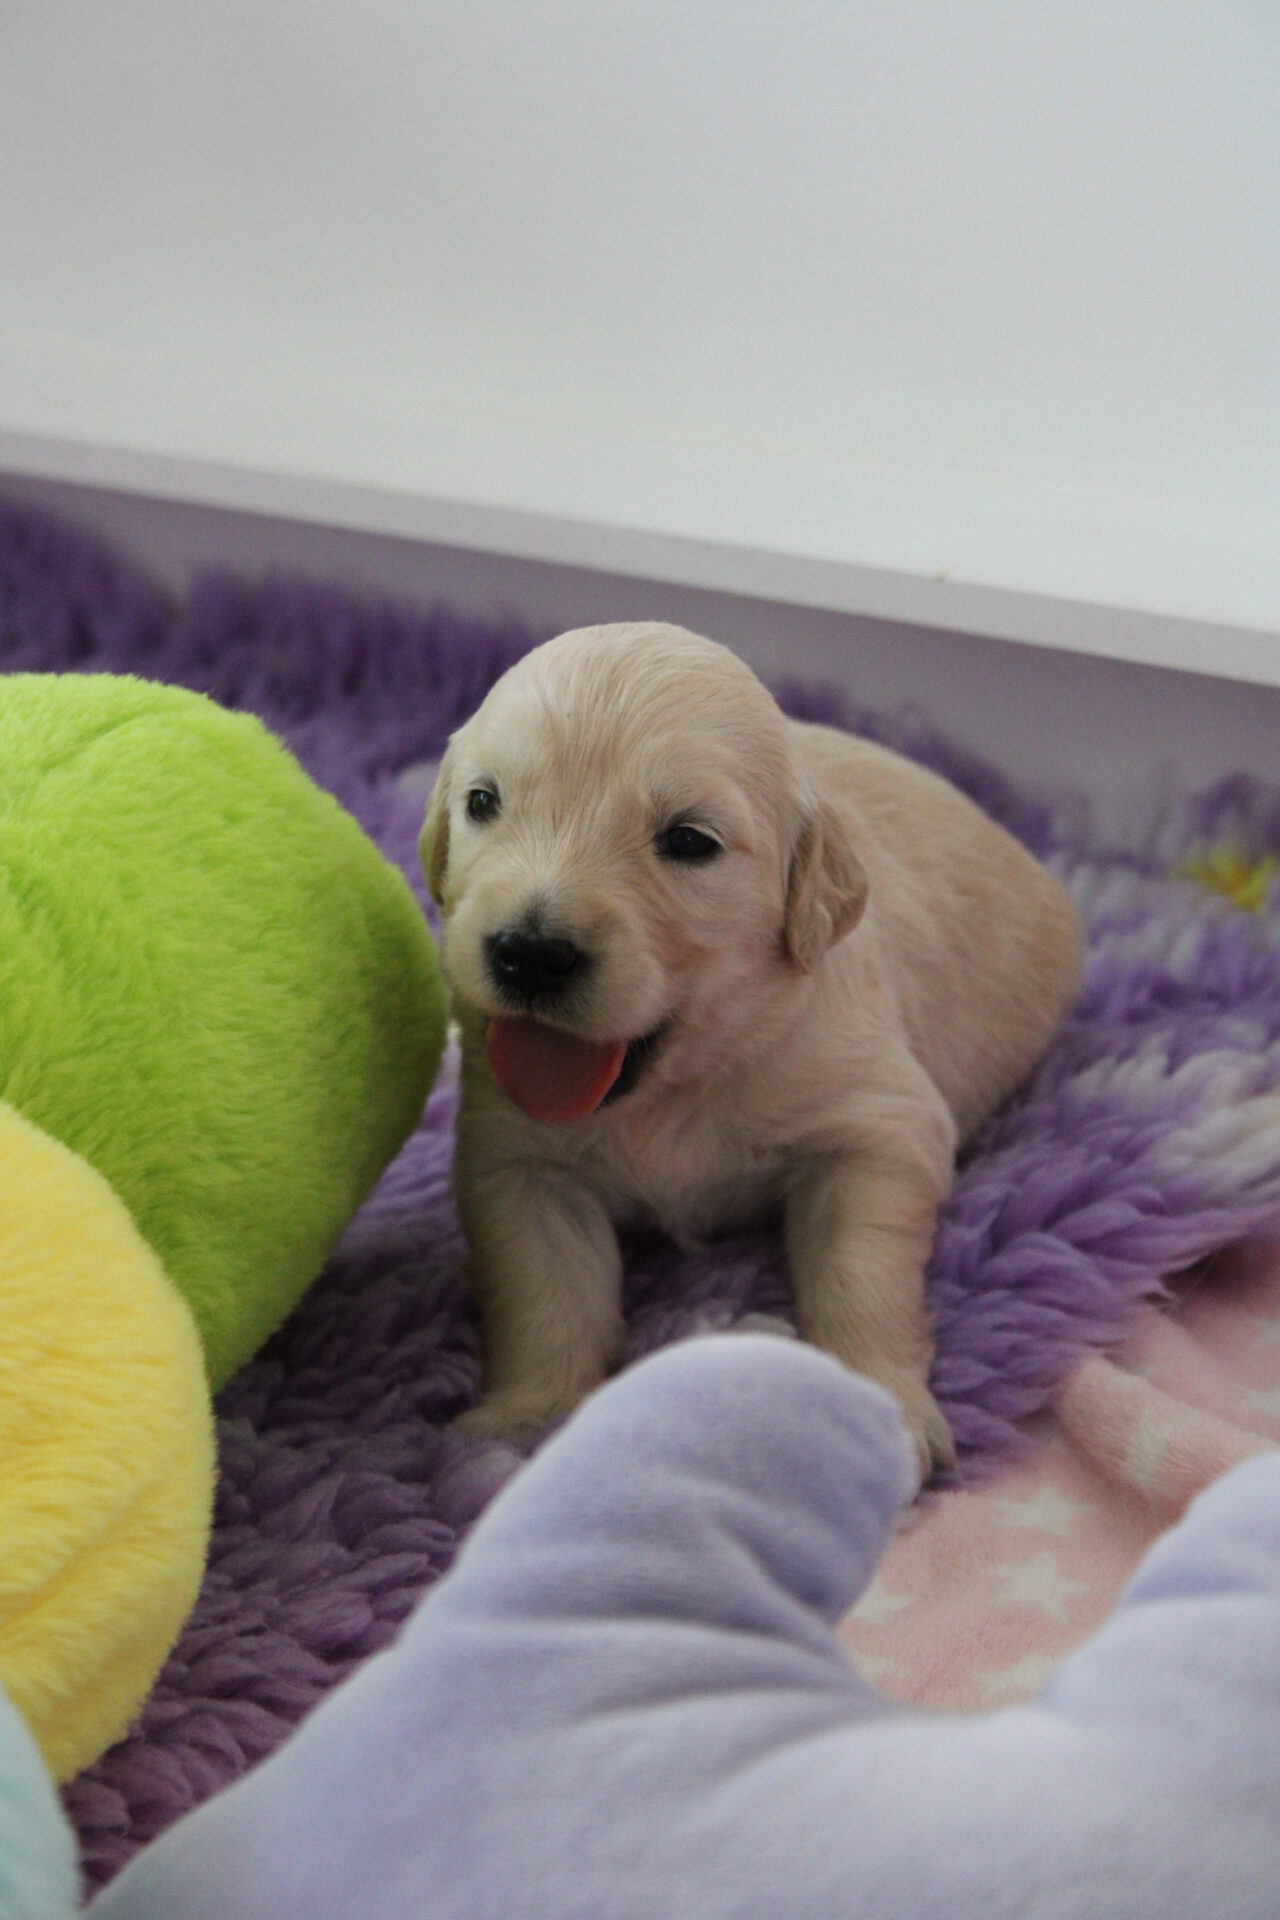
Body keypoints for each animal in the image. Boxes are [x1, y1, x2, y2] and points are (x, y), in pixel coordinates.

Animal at [420, 622, 1083, 1477]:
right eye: (482, 801)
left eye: (688, 841)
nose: (529, 953)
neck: (678, 1082)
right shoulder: (517, 1160)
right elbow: (544, 1286)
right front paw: (527, 1421)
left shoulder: (878, 1125)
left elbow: (859, 1267)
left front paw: (879, 1405)